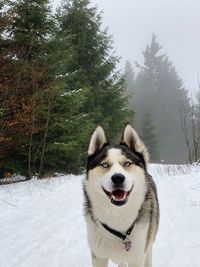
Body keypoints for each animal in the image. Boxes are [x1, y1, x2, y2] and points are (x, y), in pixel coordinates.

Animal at [83, 125, 160, 267]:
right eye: (105, 164)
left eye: (127, 163)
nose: (118, 178)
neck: (117, 215)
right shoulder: (98, 257)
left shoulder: (137, 258)